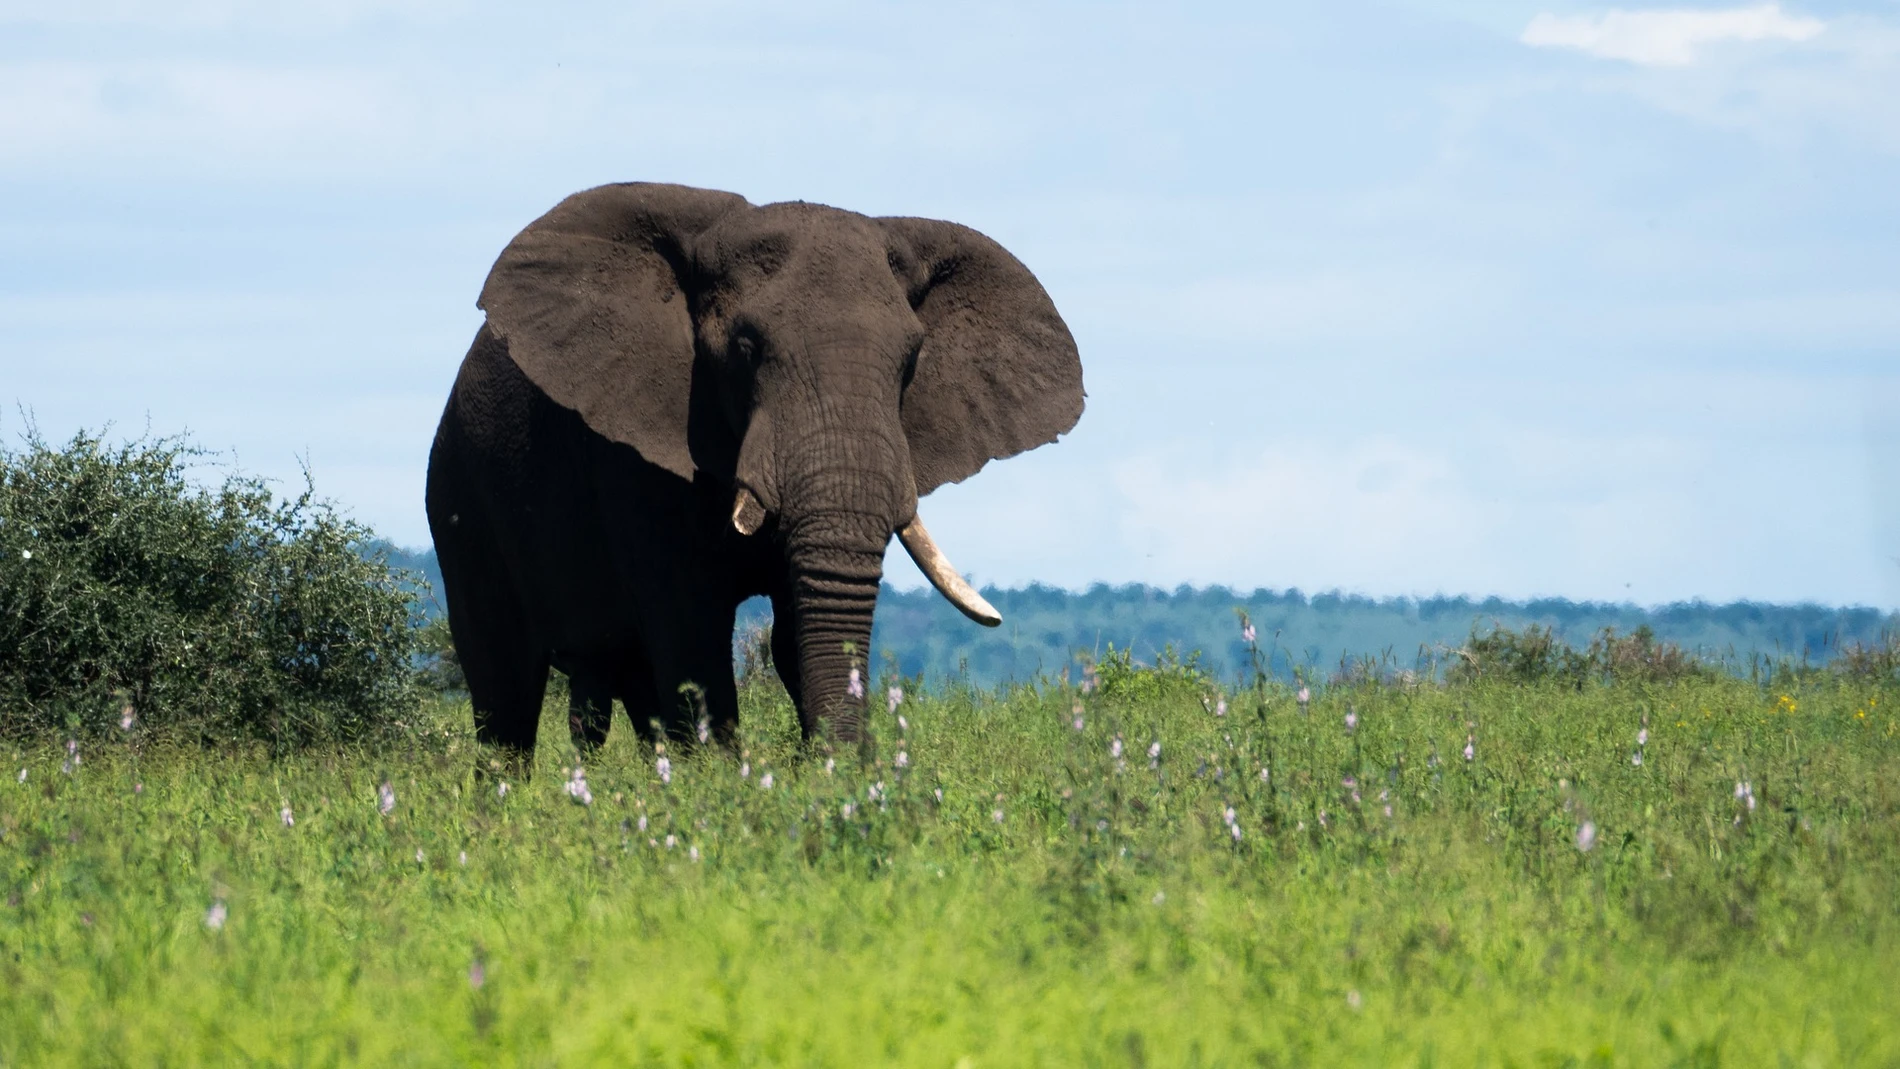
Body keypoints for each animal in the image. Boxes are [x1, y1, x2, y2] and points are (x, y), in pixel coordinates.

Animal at [425, 182, 1084, 766]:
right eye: (744, 349)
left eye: (913, 361)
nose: (837, 767)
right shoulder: (631, 456)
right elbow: (691, 632)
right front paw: (726, 791)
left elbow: (793, 631)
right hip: (460, 497)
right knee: (504, 691)